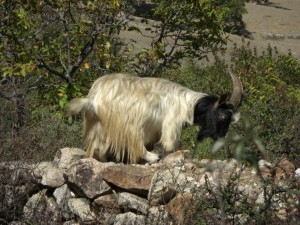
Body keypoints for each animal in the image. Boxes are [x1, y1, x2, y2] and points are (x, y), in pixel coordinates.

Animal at [67, 72, 243, 163]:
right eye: (222, 116)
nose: (220, 139)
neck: (188, 103)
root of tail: (92, 99)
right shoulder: (171, 123)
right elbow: (170, 145)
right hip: (128, 124)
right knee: (135, 145)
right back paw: (152, 157)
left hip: (99, 127)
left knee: (99, 148)